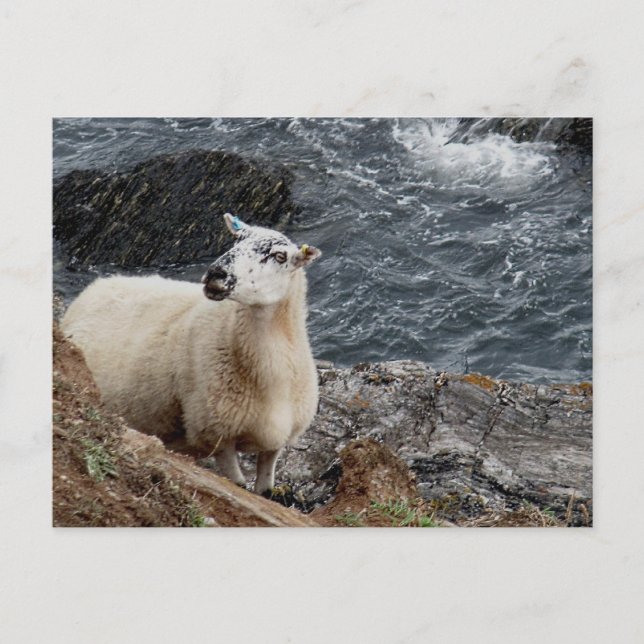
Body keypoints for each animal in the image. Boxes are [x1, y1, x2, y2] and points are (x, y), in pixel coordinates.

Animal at [61, 213, 322, 494]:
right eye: (236, 240)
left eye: (279, 256)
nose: (216, 274)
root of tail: (99, 284)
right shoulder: (217, 434)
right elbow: (237, 484)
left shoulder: (276, 443)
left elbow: (265, 491)